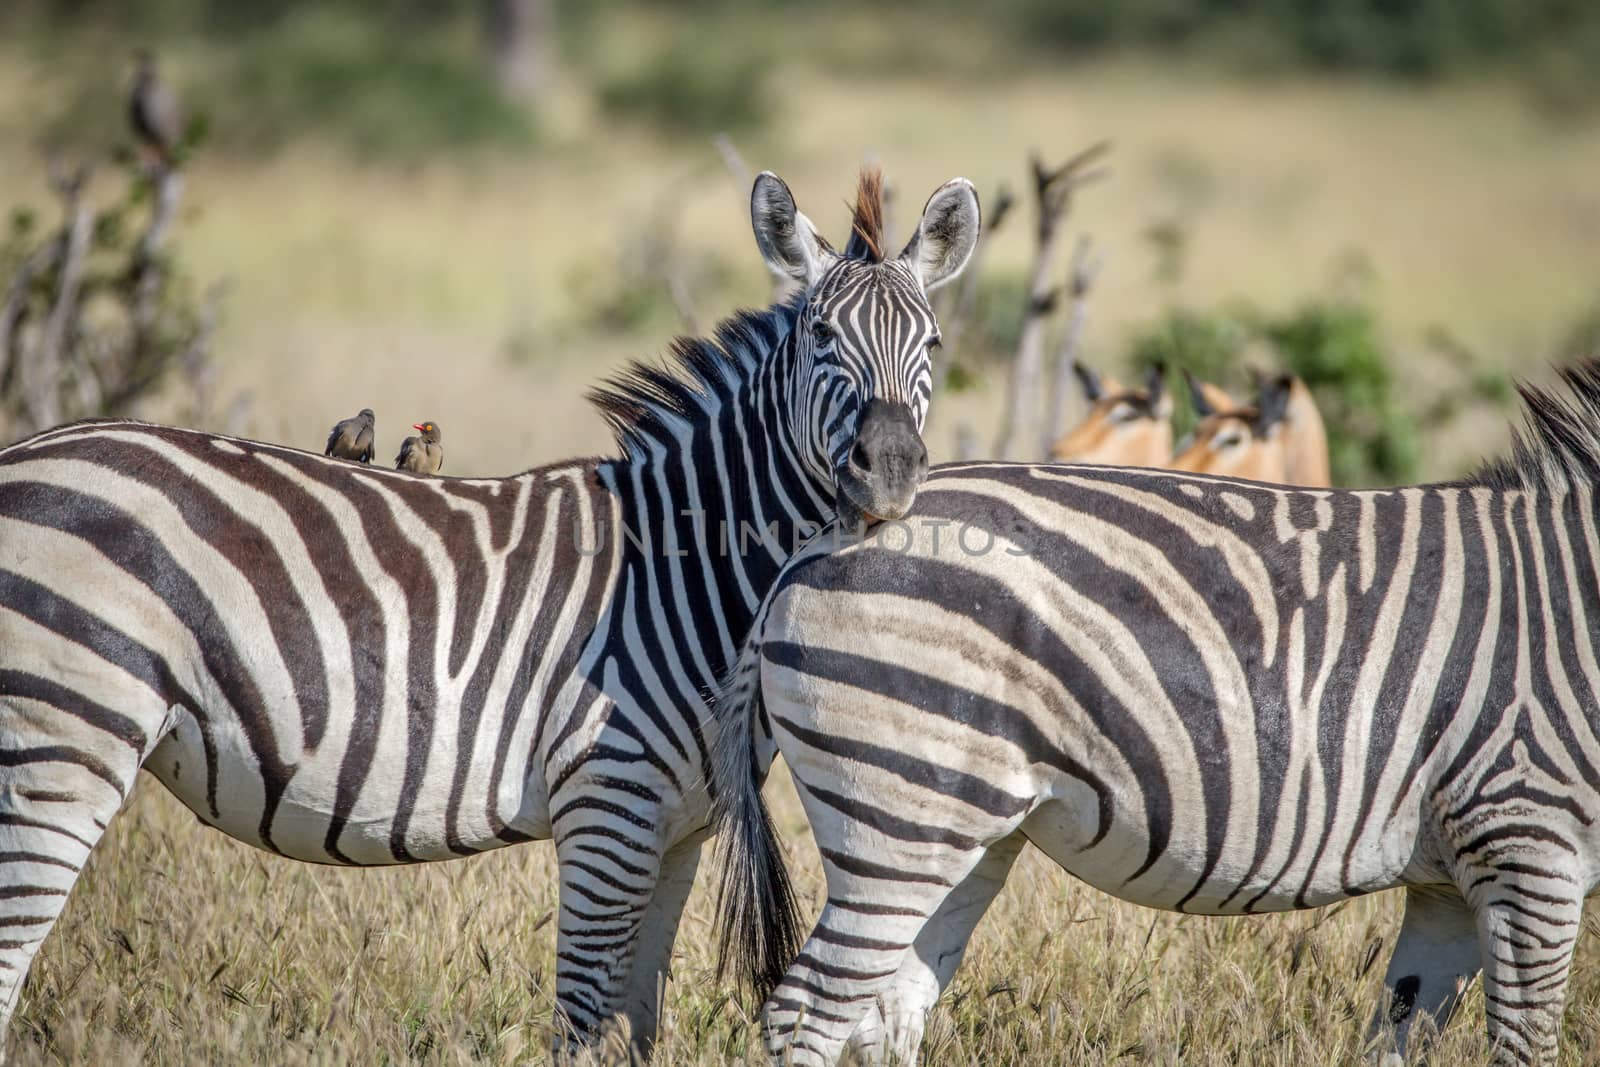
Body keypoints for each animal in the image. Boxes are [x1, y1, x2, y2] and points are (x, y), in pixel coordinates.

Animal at [0, 167, 979, 1062]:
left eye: (932, 339)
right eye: (821, 336)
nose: (893, 469)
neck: (681, 564)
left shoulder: (677, 832)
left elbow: (637, 1028)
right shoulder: (606, 810)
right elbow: (580, 1027)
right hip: (64, 737)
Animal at [720, 361, 1600, 1067]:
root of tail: (822, 534)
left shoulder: (1450, 884)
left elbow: (1396, 1037)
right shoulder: (1527, 841)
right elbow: (1525, 1045)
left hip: (961, 827)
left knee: (884, 1014)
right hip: (897, 815)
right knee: (806, 1014)